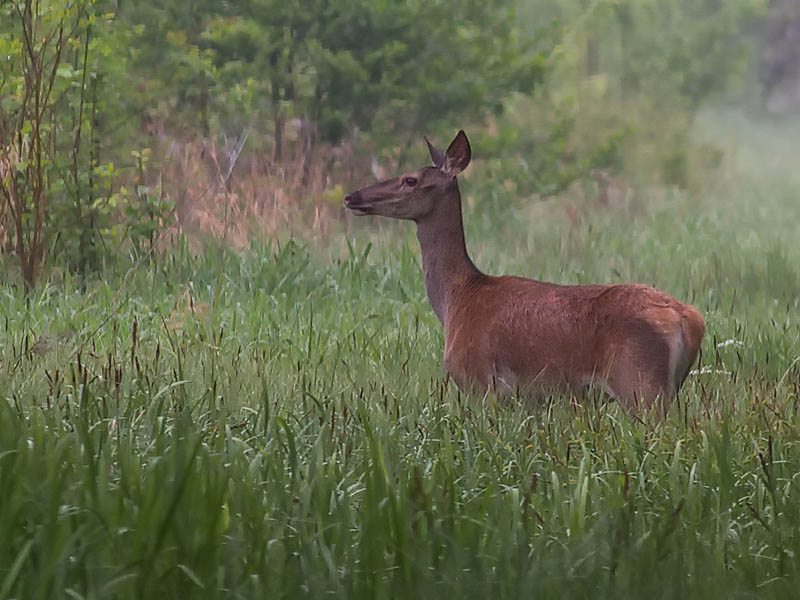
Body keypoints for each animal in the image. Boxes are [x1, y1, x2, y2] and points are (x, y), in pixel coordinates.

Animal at [340, 131, 704, 412]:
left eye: (410, 179)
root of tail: (687, 319)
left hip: (640, 385)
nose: (351, 197)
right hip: (668, 388)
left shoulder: (480, 382)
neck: (455, 299)